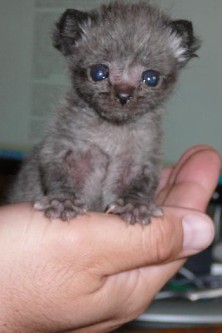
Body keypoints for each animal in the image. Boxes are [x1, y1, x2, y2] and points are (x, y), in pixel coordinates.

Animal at [7, 1, 200, 223]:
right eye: (99, 72)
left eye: (151, 78)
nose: (123, 96)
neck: (113, 130)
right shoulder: (57, 147)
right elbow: (57, 175)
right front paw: (63, 201)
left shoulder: (146, 161)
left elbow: (142, 185)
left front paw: (135, 206)